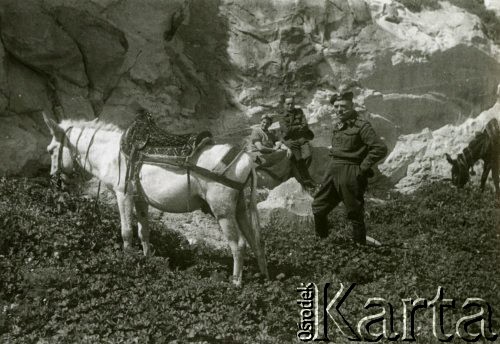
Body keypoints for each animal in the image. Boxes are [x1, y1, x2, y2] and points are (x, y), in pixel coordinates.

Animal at [42, 114, 270, 286]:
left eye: (51, 150)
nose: (54, 180)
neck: (111, 153)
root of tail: (247, 161)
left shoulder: (123, 195)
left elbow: (126, 231)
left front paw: (128, 261)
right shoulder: (140, 200)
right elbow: (144, 232)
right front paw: (146, 261)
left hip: (223, 212)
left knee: (238, 244)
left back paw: (236, 283)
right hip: (241, 208)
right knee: (256, 241)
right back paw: (263, 277)